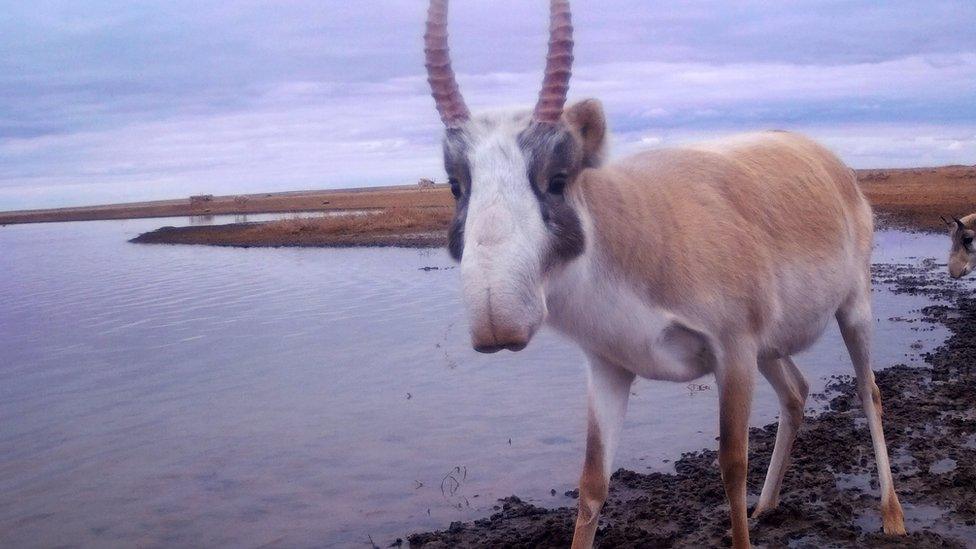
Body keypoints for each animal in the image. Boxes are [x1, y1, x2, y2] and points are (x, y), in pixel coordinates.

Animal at [424, 2, 912, 544]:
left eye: (557, 177)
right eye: (455, 184)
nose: (496, 321)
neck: (639, 230)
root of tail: (828, 162)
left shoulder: (732, 353)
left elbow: (731, 464)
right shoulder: (609, 368)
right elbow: (591, 484)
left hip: (851, 311)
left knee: (869, 393)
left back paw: (892, 517)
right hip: (768, 349)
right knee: (796, 393)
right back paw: (766, 507)